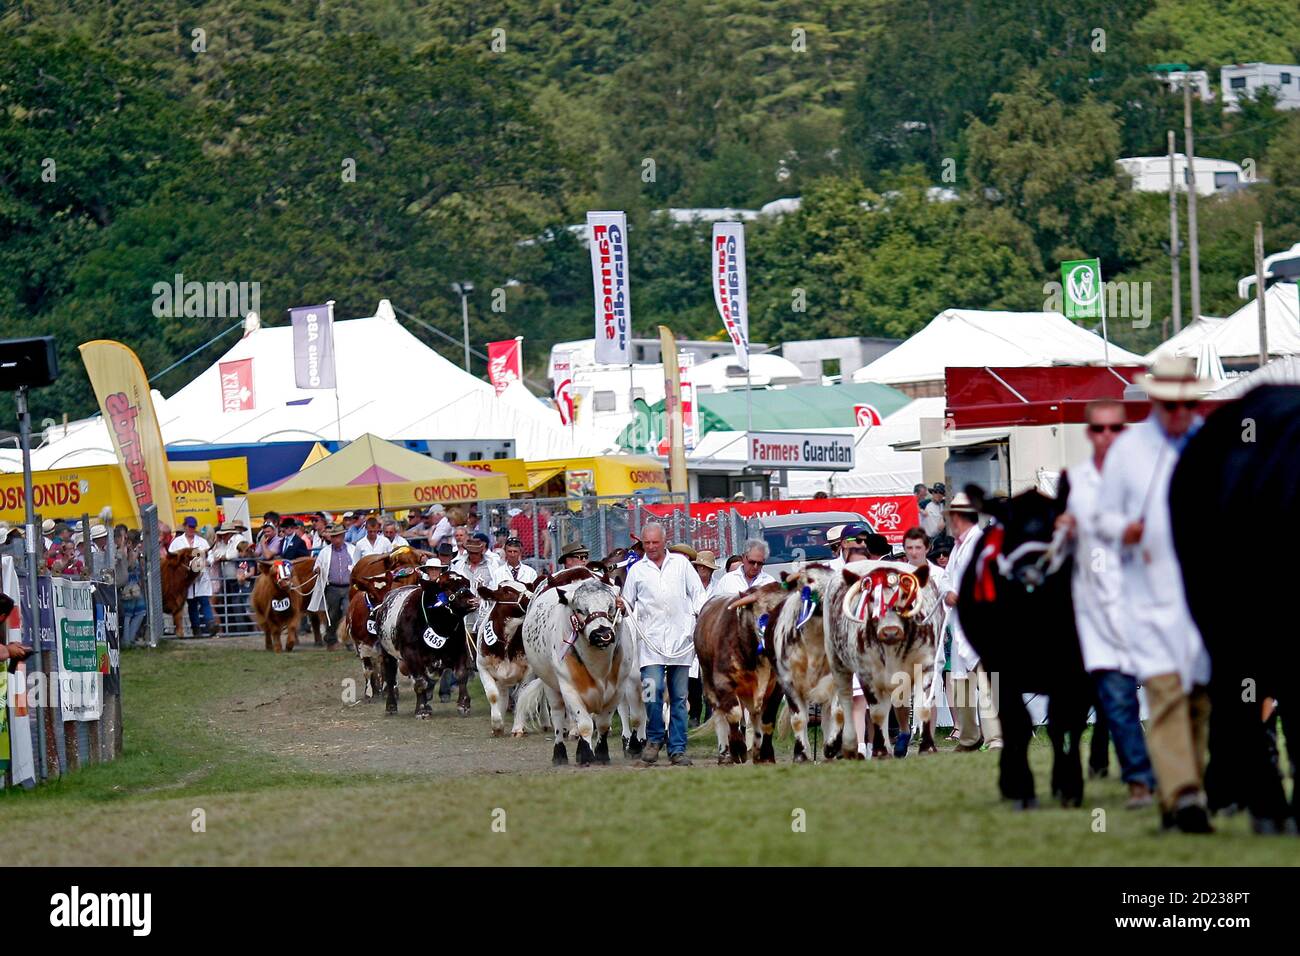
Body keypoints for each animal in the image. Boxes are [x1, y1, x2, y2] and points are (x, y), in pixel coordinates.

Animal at [514, 580, 642, 764]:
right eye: (580, 610)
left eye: (610, 607)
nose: (603, 634)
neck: (598, 666)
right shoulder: (570, 688)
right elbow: (585, 724)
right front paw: (586, 755)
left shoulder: (617, 689)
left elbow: (603, 723)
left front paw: (601, 753)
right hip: (551, 687)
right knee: (558, 718)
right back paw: (559, 754)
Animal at [696, 580, 785, 764]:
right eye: (766, 612)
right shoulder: (723, 682)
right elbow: (734, 714)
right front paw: (738, 749)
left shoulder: (778, 687)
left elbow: (767, 720)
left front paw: (766, 754)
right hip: (708, 683)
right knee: (720, 714)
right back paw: (724, 753)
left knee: (754, 715)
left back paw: (757, 750)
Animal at [826, 561, 941, 764]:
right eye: (871, 598)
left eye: (905, 596)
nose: (890, 632)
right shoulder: (866, 674)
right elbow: (877, 712)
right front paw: (880, 751)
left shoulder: (925, 666)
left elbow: (923, 707)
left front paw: (927, 747)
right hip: (837, 662)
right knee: (845, 702)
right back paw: (846, 745)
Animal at [956, 486, 1097, 806]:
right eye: (1010, 530)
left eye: (1054, 527)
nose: (1030, 573)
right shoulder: (1000, 669)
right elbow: (1017, 724)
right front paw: (1021, 786)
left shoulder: (1075, 670)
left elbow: (1066, 723)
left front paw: (1069, 784)